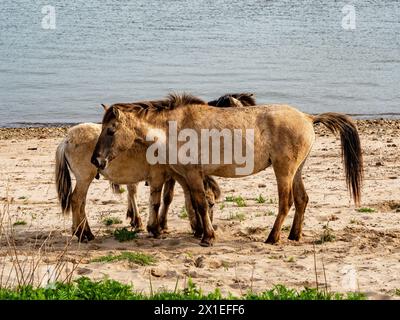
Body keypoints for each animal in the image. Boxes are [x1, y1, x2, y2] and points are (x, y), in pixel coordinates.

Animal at [92, 92, 364, 248]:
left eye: (111, 130)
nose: (96, 160)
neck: (173, 128)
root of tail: (308, 118)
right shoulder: (184, 175)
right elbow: (191, 203)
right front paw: (196, 231)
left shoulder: (192, 174)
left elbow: (200, 204)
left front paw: (207, 237)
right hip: (296, 170)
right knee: (302, 199)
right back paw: (294, 236)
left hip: (284, 171)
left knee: (286, 202)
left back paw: (272, 237)